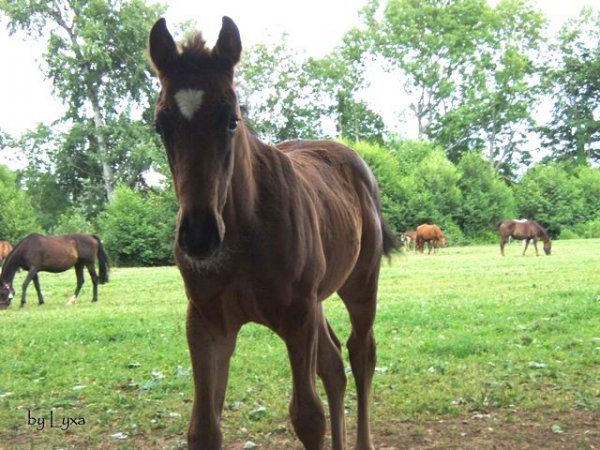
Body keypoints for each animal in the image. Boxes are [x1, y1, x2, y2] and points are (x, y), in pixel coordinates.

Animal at [148, 15, 396, 448]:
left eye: (231, 120)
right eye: (161, 125)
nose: (199, 236)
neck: (244, 233)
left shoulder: (298, 316)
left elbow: (308, 416)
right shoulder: (206, 322)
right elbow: (204, 429)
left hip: (360, 283)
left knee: (361, 353)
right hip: (318, 301)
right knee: (333, 364)